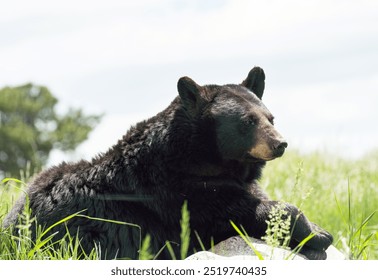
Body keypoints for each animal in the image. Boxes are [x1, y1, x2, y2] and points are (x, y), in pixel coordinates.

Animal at [3, 66, 334, 260]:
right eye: (248, 121)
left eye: (270, 118)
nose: (280, 143)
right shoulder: (181, 196)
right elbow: (237, 212)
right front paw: (317, 235)